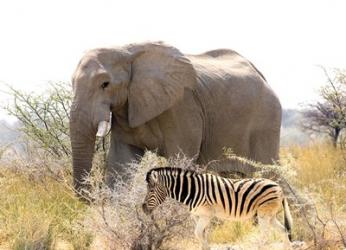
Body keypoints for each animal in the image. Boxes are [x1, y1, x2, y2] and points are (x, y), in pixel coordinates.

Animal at [69, 42, 282, 192]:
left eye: (105, 84)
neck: (126, 52)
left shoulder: (183, 106)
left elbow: (180, 158)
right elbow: (121, 160)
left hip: (266, 121)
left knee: (269, 173)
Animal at [142, 167, 294, 249]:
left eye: (151, 191)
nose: (143, 208)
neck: (193, 191)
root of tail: (279, 188)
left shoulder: (206, 215)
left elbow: (198, 234)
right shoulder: (197, 216)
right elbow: (201, 235)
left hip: (263, 214)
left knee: (265, 235)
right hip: (271, 216)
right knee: (284, 231)